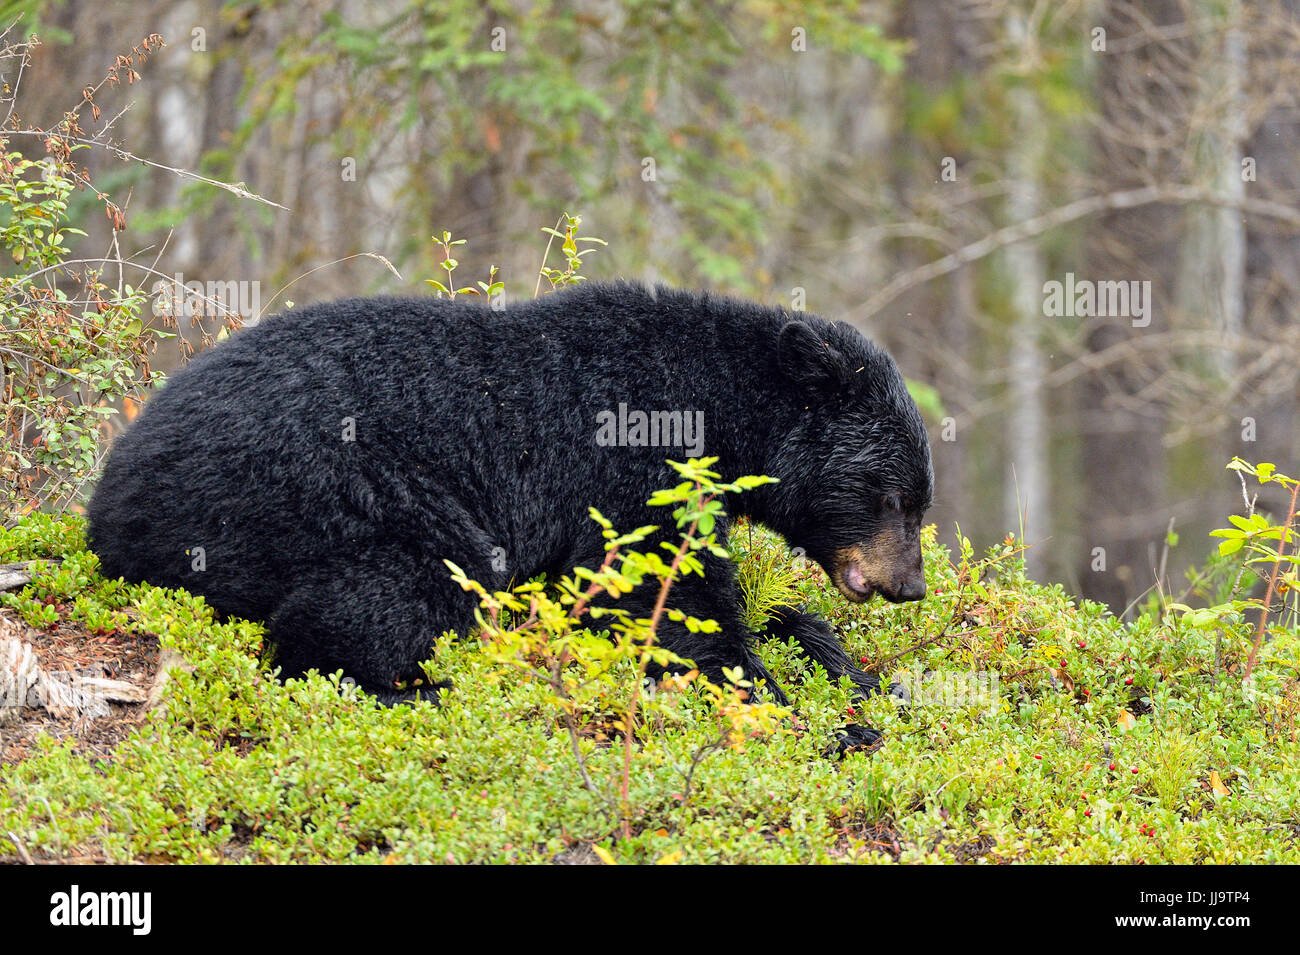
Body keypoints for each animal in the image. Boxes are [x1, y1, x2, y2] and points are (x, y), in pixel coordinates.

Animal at [86, 280, 930, 722]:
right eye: (891, 495)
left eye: (921, 501)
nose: (910, 584)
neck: (721, 407)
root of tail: (109, 509)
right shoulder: (632, 468)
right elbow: (660, 595)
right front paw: (787, 702)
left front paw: (842, 662)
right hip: (314, 494)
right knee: (394, 592)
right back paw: (417, 686)